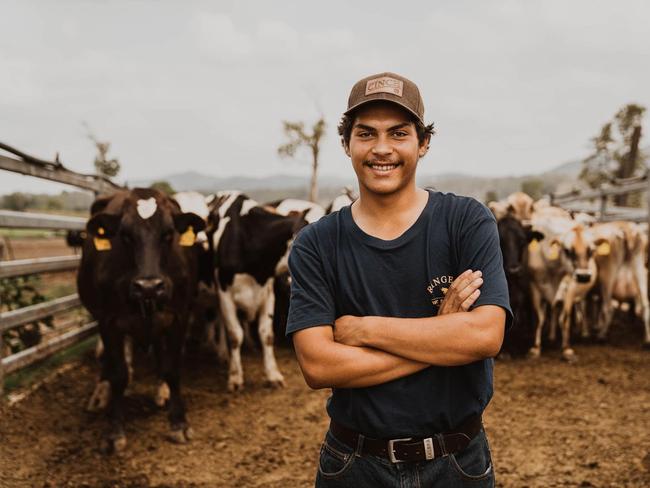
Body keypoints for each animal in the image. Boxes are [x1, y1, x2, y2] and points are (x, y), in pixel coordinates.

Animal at [79, 188, 205, 454]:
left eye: (168, 234)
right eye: (125, 235)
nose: (149, 286)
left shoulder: (178, 317)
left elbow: (173, 369)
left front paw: (179, 423)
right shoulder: (108, 321)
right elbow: (119, 374)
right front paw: (115, 431)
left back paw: (161, 390)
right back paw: (101, 394)